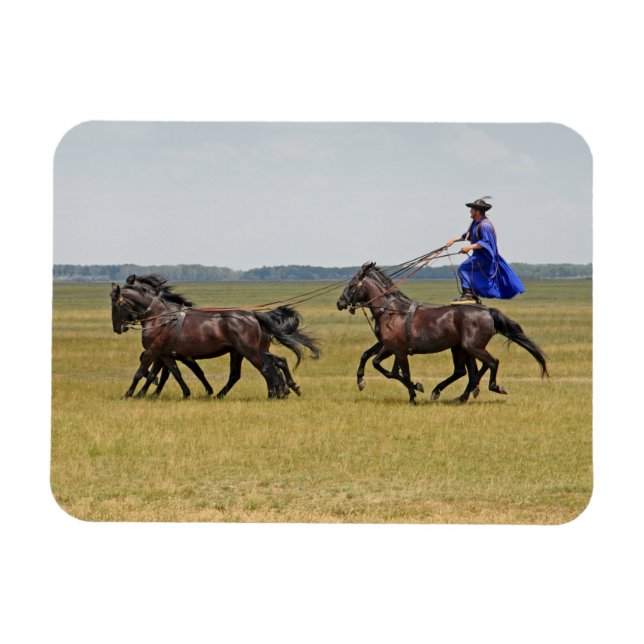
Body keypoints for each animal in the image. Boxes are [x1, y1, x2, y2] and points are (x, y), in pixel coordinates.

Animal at [111, 274, 320, 400]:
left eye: (115, 304)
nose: (117, 328)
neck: (161, 316)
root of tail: (254, 316)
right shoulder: (166, 354)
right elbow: (174, 373)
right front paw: (185, 393)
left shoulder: (153, 351)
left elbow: (141, 372)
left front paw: (128, 394)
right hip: (243, 352)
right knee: (267, 365)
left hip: (250, 351)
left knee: (267, 368)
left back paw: (275, 393)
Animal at [337, 262, 548, 403]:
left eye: (352, 284)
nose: (340, 303)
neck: (391, 311)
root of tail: (487, 311)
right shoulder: (388, 346)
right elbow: (372, 359)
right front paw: (361, 380)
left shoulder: (395, 349)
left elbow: (392, 370)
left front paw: (413, 393)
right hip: (462, 348)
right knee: (467, 370)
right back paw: (458, 394)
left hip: (471, 347)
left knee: (491, 363)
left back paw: (491, 387)